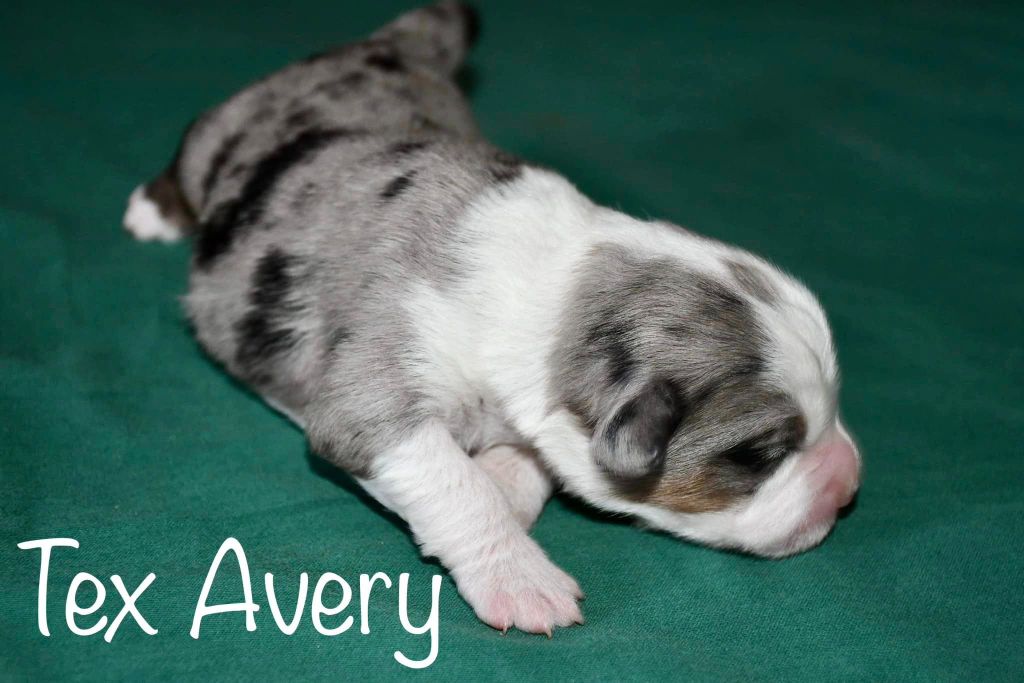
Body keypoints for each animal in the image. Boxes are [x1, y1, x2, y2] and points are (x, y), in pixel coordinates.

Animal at [123, 2, 861, 635]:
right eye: (757, 455)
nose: (849, 483)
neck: (557, 286)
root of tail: (387, 45)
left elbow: (524, 467)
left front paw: (504, 486)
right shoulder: (376, 399)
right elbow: (454, 484)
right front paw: (523, 582)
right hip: (225, 126)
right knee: (189, 153)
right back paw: (152, 210)